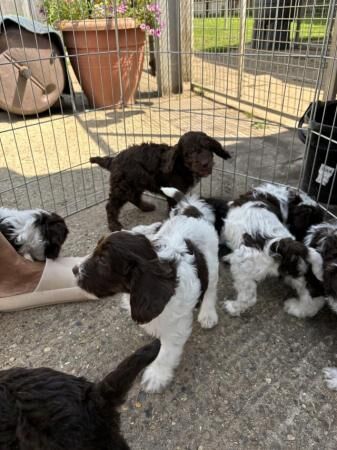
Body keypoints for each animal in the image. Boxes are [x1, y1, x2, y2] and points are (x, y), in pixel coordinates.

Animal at [73, 188, 219, 392]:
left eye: (102, 260)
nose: (74, 270)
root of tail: (191, 212)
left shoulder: (176, 326)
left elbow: (166, 352)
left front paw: (157, 375)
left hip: (212, 262)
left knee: (211, 288)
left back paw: (207, 314)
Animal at [89, 129, 231, 229]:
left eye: (208, 148)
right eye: (190, 153)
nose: (205, 163)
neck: (181, 166)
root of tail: (113, 160)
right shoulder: (173, 193)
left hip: (136, 183)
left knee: (134, 197)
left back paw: (146, 207)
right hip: (123, 186)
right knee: (111, 205)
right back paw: (114, 225)